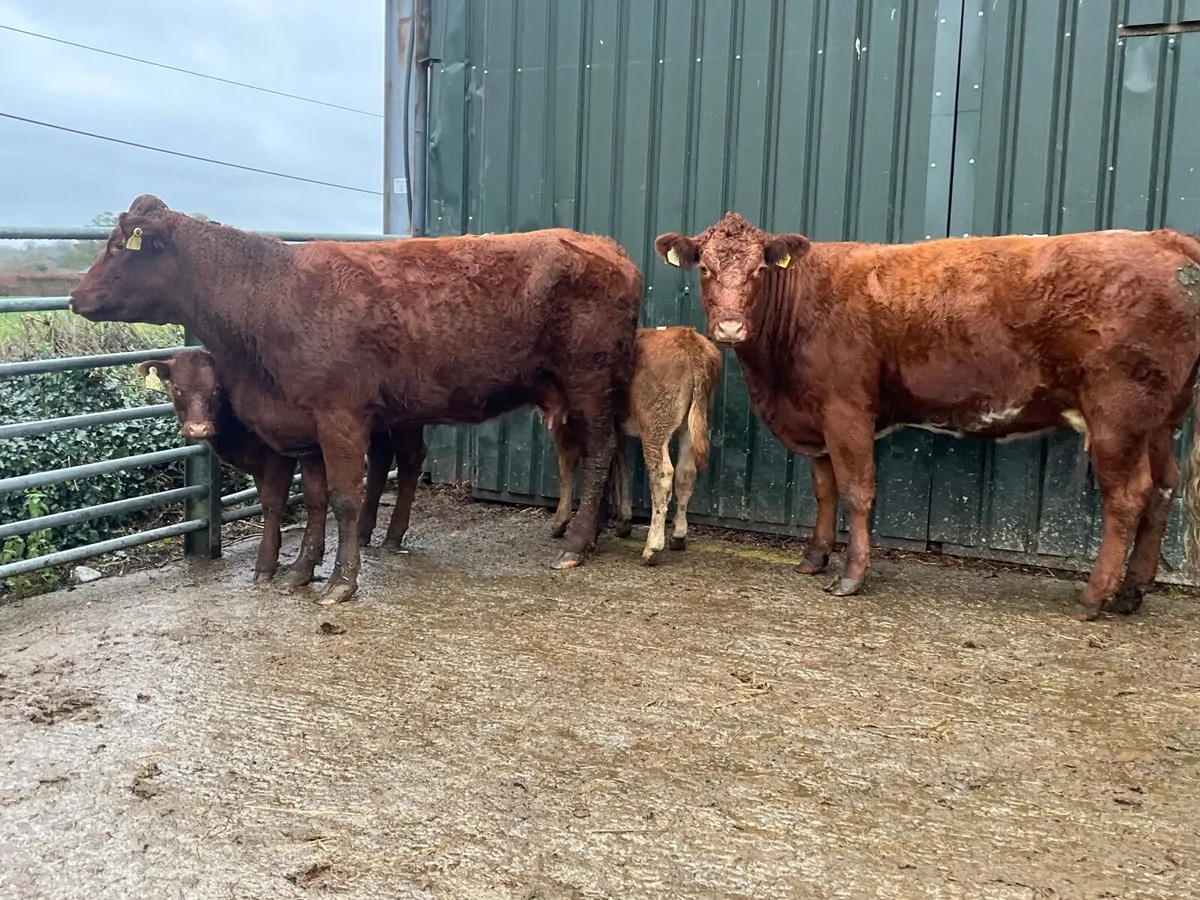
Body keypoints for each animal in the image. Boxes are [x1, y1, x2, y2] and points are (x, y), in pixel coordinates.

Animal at [137, 350, 426, 587]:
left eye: (217, 388)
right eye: (177, 387)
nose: (198, 428)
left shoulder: (278, 454)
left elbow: (273, 501)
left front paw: (265, 563)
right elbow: (265, 497)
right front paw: (275, 549)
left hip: (405, 420)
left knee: (410, 459)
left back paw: (393, 534)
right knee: (380, 460)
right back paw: (364, 531)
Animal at [543, 326, 722, 564]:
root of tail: (689, 339)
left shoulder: (565, 427)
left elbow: (568, 468)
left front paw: (560, 522)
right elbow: (619, 466)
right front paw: (623, 521)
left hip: (655, 423)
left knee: (663, 475)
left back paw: (652, 547)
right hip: (692, 423)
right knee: (686, 474)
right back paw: (678, 536)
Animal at [655, 211, 1200, 620]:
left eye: (759, 271)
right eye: (704, 269)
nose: (729, 327)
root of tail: (1165, 239)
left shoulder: (845, 410)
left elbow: (857, 490)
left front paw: (851, 575)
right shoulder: (815, 418)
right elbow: (825, 489)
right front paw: (814, 557)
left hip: (1118, 415)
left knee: (1127, 497)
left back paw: (1094, 597)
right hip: (1161, 419)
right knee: (1163, 489)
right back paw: (1130, 593)